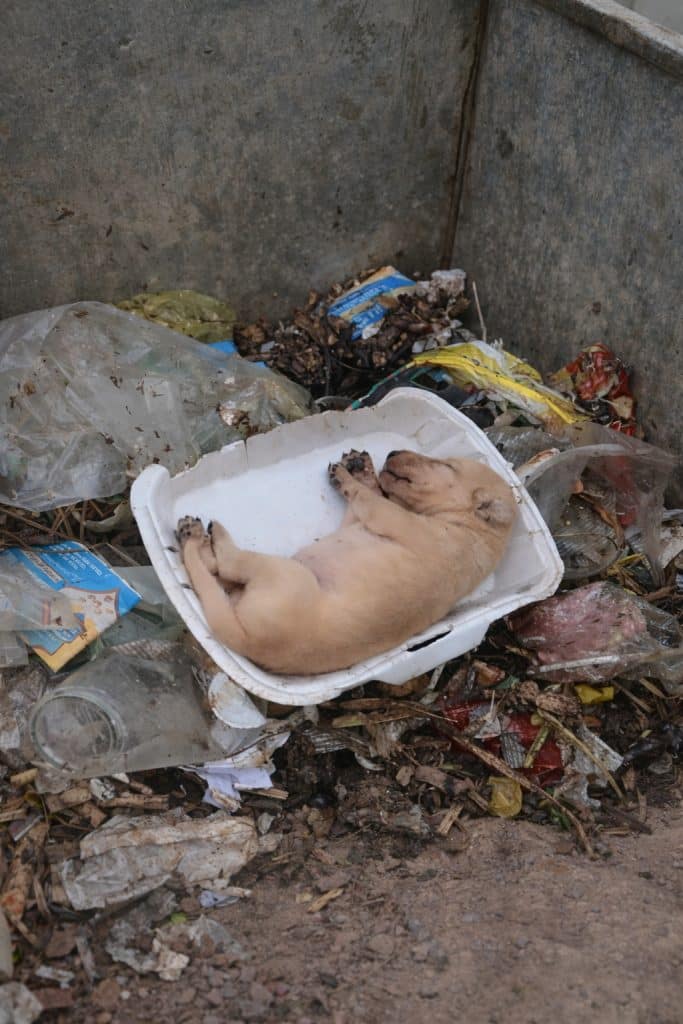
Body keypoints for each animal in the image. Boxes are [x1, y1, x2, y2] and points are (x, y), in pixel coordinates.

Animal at [176, 449, 517, 675]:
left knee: (227, 565)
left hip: (285, 574)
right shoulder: (358, 521)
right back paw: (198, 539)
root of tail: (250, 643)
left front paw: (346, 477)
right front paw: (360, 467)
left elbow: (366, 496)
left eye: (446, 465)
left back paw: (202, 536)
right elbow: (368, 492)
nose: (392, 452)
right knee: (216, 573)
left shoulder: (387, 516)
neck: (471, 531)